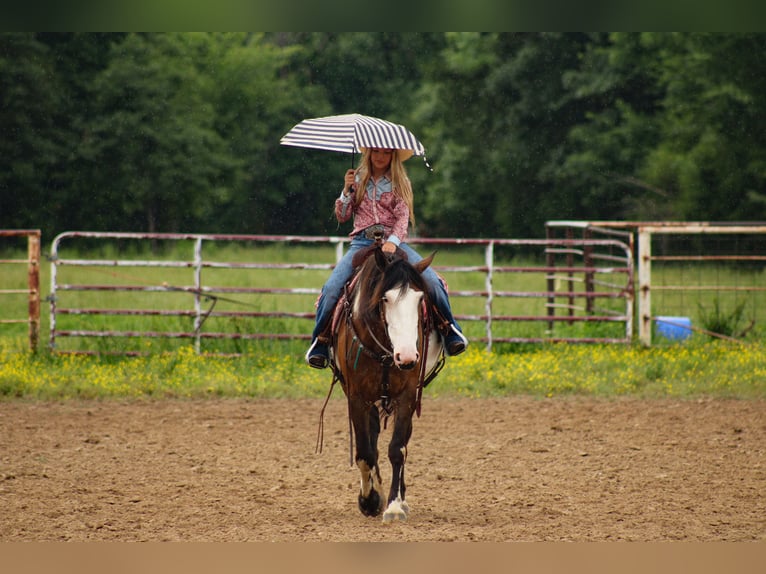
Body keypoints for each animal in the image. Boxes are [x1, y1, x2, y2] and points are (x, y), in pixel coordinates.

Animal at [320, 244, 445, 522]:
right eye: (385, 299)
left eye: (420, 299)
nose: (407, 357)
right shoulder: (356, 396)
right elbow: (365, 453)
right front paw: (369, 500)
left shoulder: (407, 395)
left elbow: (398, 448)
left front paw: (394, 505)